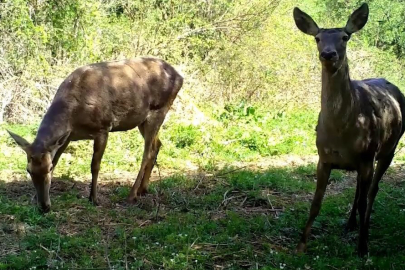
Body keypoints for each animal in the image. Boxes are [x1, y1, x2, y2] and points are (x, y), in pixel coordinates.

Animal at [6, 56, 182, 213]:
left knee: (146, 153)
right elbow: (56, 160)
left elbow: (94, 165)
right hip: (142, 120)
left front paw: (94, 198)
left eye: (47, 169)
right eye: (28, 170)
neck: (73, 115)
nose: (43, 207)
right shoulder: (67, 137)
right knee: (157, 144)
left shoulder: (102, 128)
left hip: (159, 110)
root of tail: (180, 76)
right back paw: (143, 189)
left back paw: (132, 195)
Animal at [292, 3, 402, 258]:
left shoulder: (368, 155)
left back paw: (364, 228)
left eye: (345, 37)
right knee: (359, 190)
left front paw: (362, 248)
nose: (328, 54)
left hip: (388, 149)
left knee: (371, 192)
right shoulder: (323, 157)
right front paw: (301, 245)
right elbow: (316, 202)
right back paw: (351, 223)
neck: (341, 131)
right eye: (317, 38)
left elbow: (364, 200)